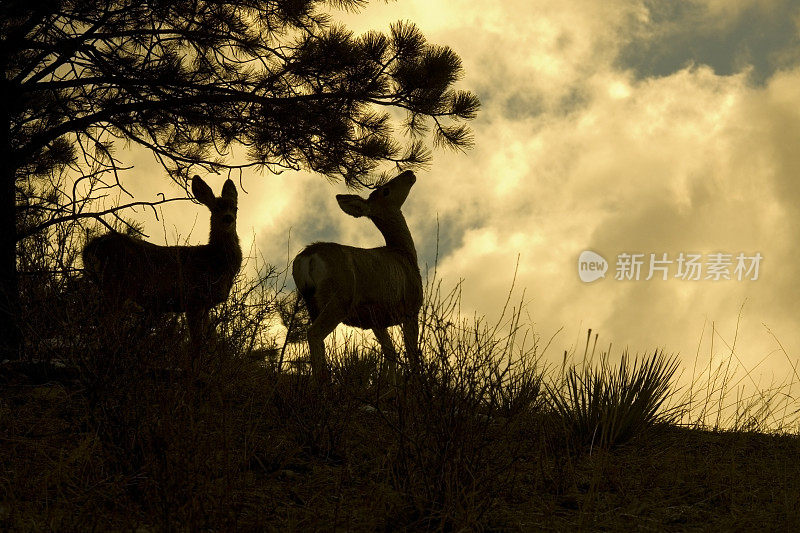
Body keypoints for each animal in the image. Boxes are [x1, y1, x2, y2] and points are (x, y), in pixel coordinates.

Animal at [83, 176, 244, 344]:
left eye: (235, 208)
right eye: (215, 208)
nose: (228, 218)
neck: (214, 261)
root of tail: (89, 248)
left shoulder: (205, 305)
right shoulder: (194, 298)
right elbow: (197, 342)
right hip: (116, 284)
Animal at [290, 170, 422, 382]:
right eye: (385, 190)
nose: (409, 173)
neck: (404, 254)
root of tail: (307, 257)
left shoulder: (376, 319)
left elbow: (390, 352)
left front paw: (390, 387)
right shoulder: (410, 308)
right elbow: (412, 354)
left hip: (311, 302)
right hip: (339, 299)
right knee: (314, 334)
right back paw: (323, 381)